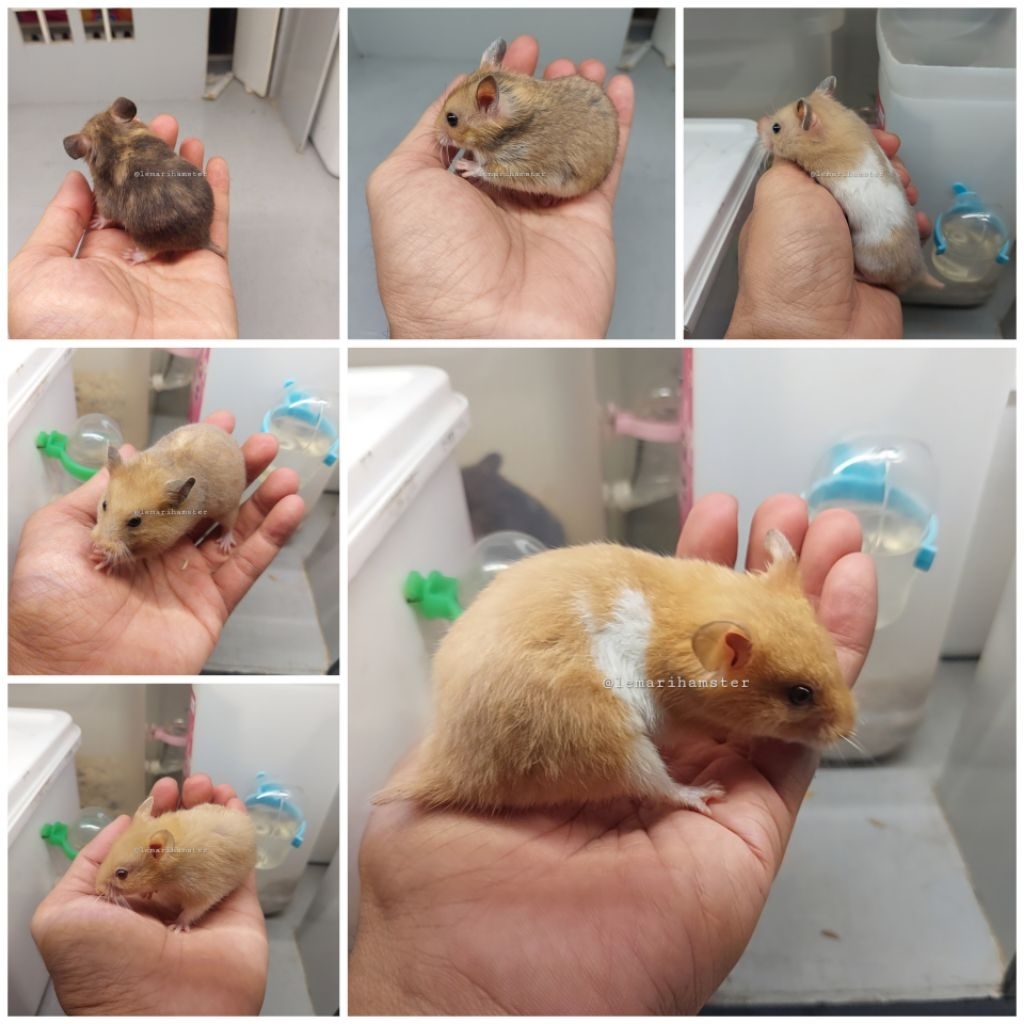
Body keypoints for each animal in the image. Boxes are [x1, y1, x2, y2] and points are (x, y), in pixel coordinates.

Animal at [63, 97, 223, 265]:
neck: (115, 139)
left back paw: (134, 256)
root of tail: (203, 237)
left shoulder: (104, 196)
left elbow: (106, 216)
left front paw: (96, 222)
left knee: (151, 252)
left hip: (145, 237)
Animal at [90, 423, 246, 572]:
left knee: (229, 525)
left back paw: (224, 546)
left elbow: (132, 556)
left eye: (135, 522)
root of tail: (231, 439)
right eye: (104, 505)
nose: (100, 544)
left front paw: (101, 558)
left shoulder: (162, 542)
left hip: (230, 507)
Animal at [95, 796, 257, 933]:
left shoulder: (204, 893)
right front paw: (147, 894)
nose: (97, 889)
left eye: (122, 874)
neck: (171, 874)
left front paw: (175, 926)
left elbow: (191, 912)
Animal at [375, 530, 855, 815]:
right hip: (607, 741)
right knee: (657, 788)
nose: (850, 728)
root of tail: (451, 771)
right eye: (799, 694)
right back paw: (707, 793)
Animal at [758, 76, 938, 295]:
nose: (758, 126)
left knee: (878, 280)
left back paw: (856, 275)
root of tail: (920, 274)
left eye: (776, 128)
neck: (831, 125)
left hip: (867, 256)